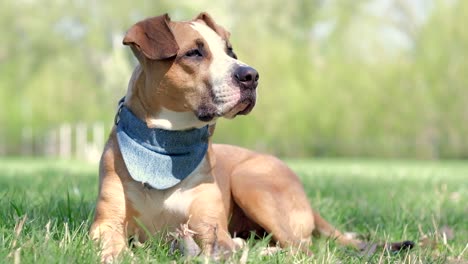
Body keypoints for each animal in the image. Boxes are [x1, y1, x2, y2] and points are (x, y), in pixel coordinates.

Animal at [88, 12, 366, 262]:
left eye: (230, 52)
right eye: (194, 53)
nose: (251, 75)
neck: (165, 148)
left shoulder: (209, 225)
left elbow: (216, 245)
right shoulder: (106, 222)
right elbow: (111, 242)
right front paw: (118, 255)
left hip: (250, 181)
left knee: (300, 248)